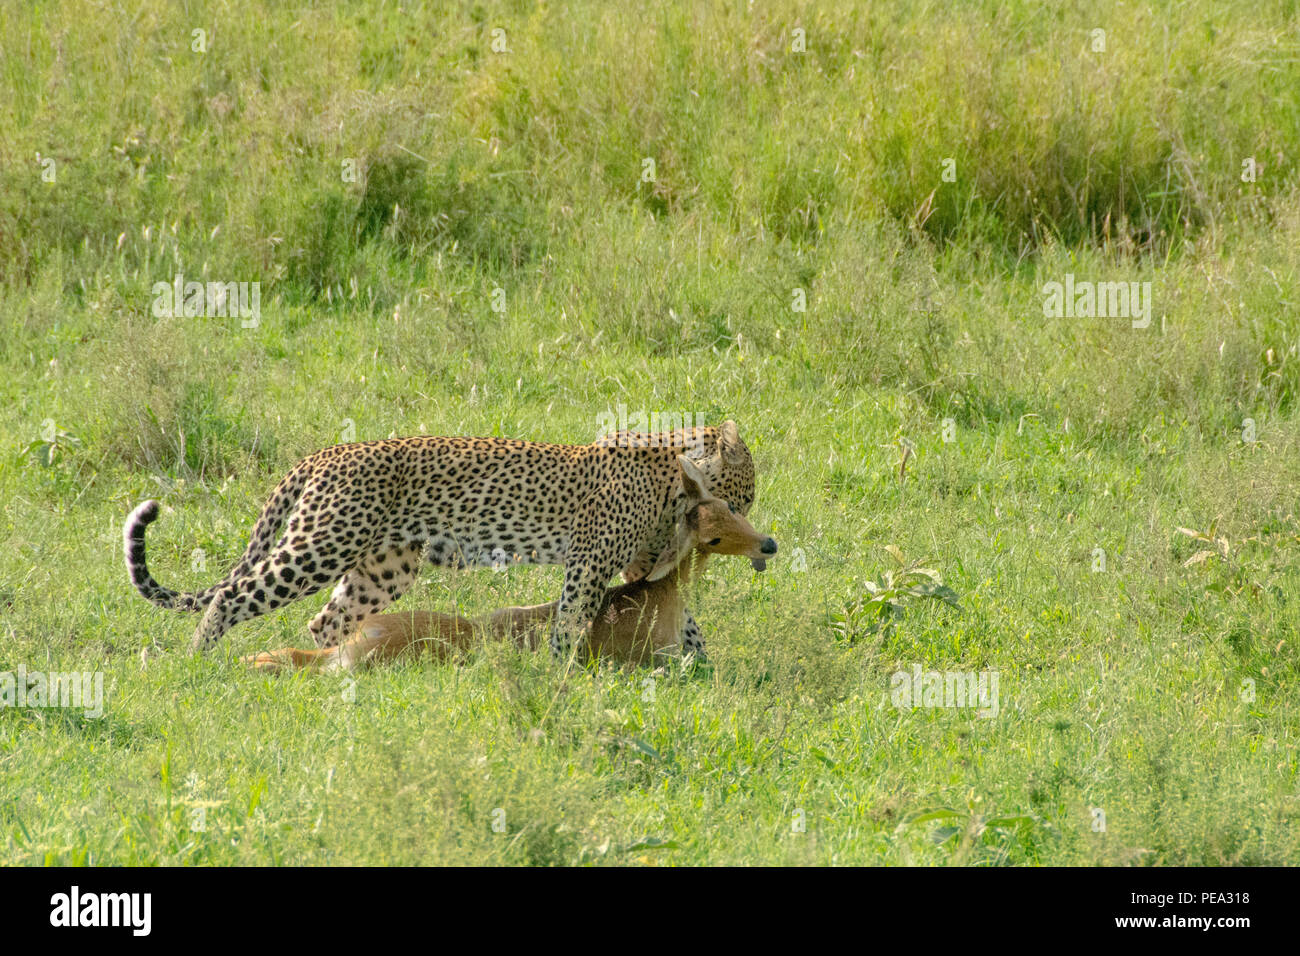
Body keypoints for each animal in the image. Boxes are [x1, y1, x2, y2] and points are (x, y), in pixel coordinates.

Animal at [126, 421, 759, 660]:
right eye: (744, 497)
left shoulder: (635, 567)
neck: (675, 479)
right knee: (231, 597)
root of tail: (326, 453)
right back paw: (200, 664)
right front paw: (561, 673)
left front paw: (702, 665)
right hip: (323, 544)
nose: (752, 518)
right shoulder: (588, 564)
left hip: (383, 568)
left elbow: (681, 613)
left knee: (326, 621)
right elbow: (570, 623)